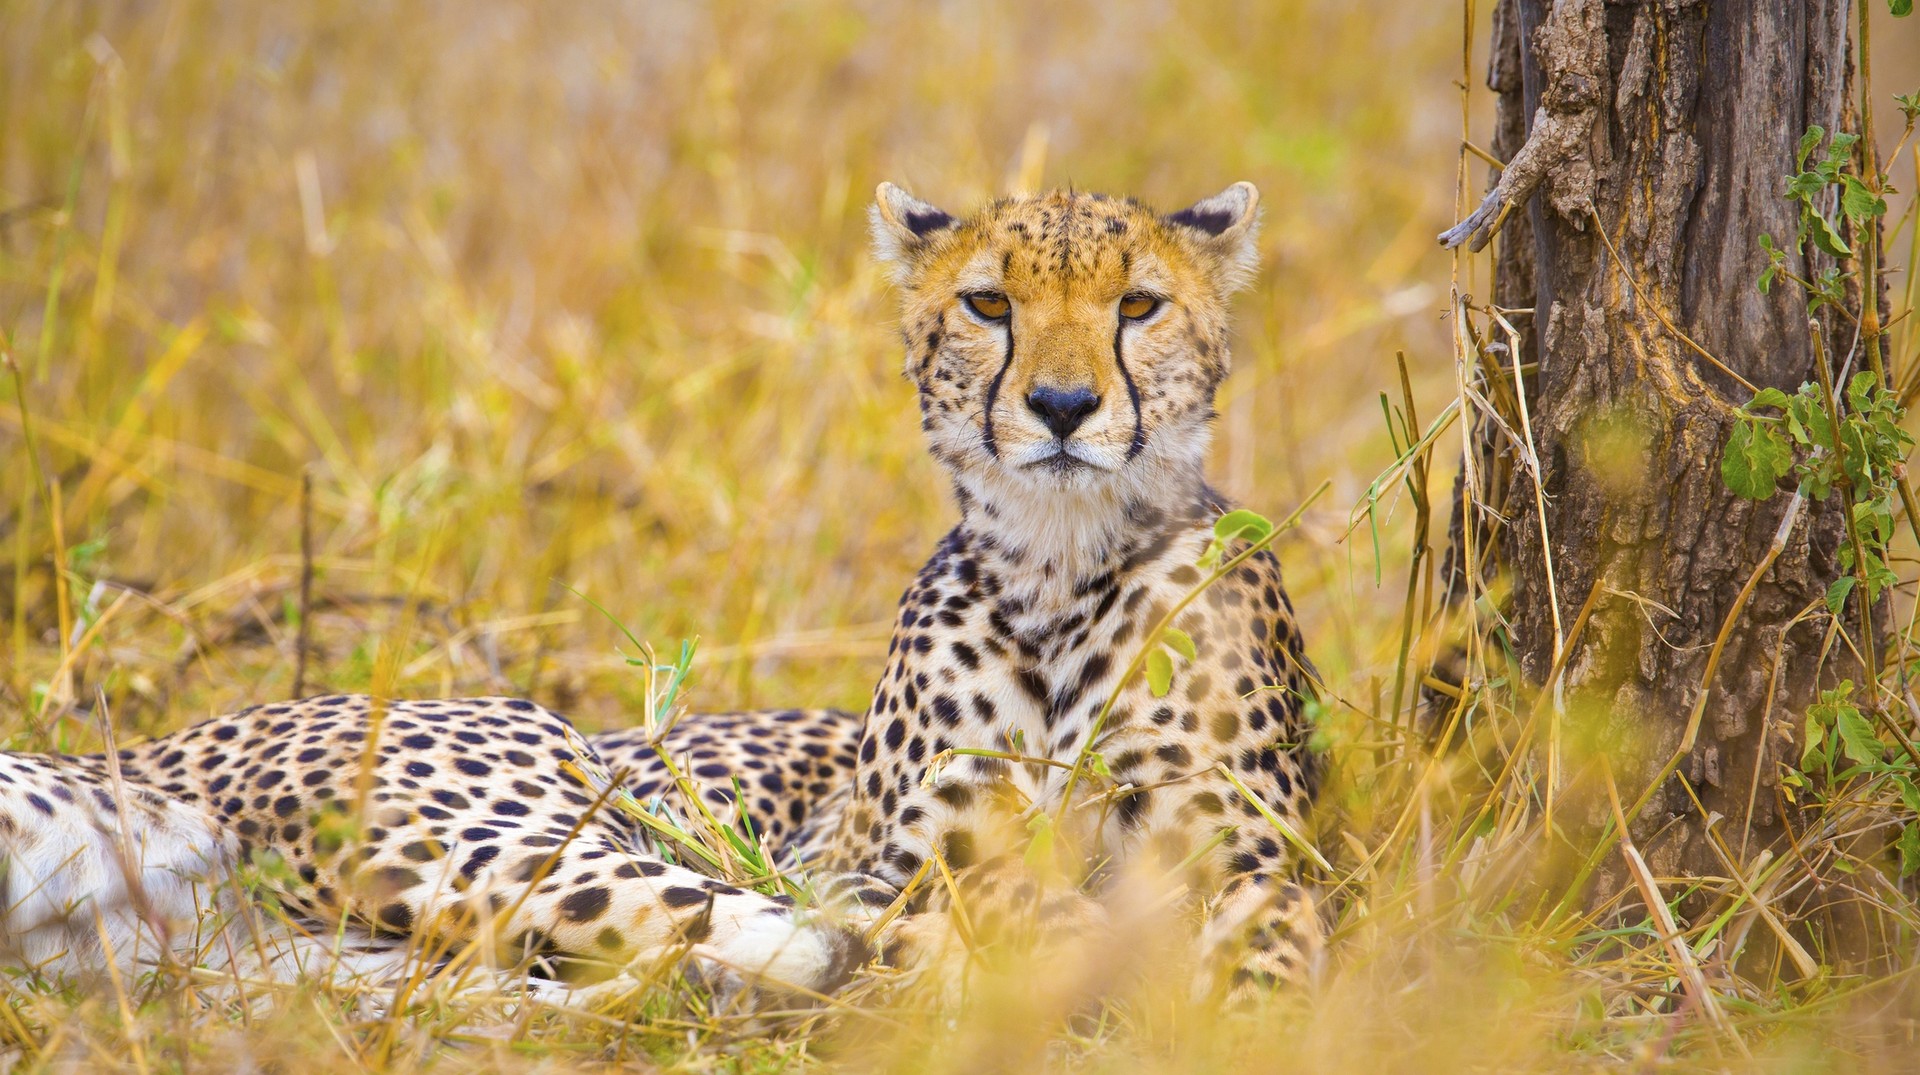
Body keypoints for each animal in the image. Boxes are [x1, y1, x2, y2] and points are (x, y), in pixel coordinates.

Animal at [0, 180, 1320, 1007]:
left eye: (1138, 306)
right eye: (989, 304)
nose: (1059, 406)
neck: (1058, 564)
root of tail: (153, 752)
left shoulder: (1259, 859)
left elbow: (1267, 950)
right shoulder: (885, 855)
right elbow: (975, 895)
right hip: (516, 835)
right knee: (792, 932)